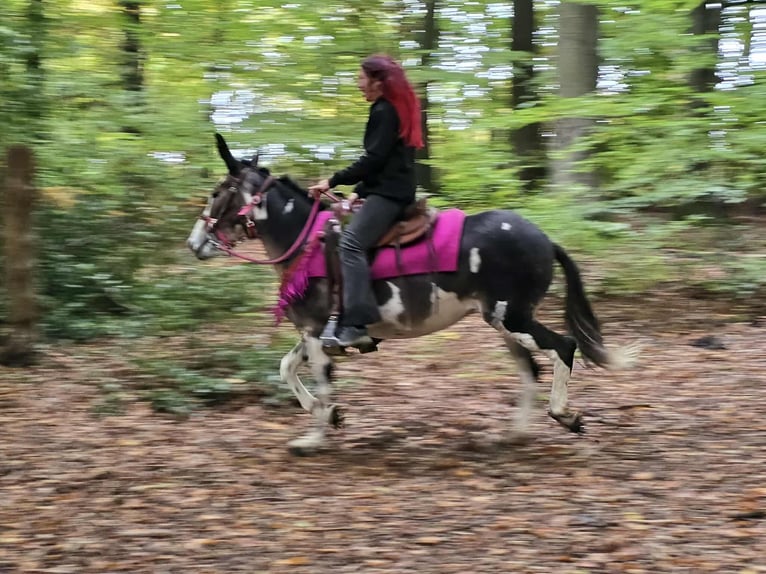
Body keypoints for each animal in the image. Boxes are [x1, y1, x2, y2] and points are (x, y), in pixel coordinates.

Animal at [187, 133, 636, 454]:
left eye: (217, 192)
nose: (195, 244)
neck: (305, 241)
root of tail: (544, 238)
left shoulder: (316, 334)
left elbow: (321, 381)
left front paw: (315, 436)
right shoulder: (314, 332)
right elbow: (286, 369)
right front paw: (329, 416)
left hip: (512, 317)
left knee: (563, 347)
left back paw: (564, 416)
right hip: (503, 322)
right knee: (530, 369)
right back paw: (515, 435)